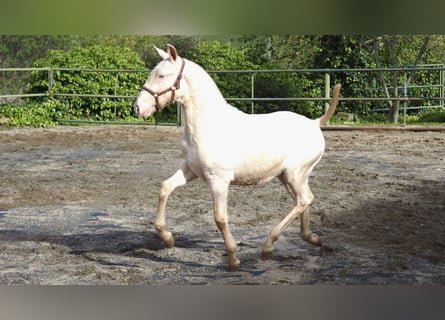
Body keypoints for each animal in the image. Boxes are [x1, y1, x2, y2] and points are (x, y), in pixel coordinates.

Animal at [133, 43, 340, 272]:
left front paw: (233, 260)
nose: (138, 108)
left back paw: (268, 248)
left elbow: (220, 218)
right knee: (304, 201)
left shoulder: (219, 180)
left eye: (161, 75)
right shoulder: (191, 169)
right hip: (289, 177)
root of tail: (315, 123)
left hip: (294, 175)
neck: (206, 124)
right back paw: (312, 239)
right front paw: (168, 238)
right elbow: (165, 188)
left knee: (305, 200)